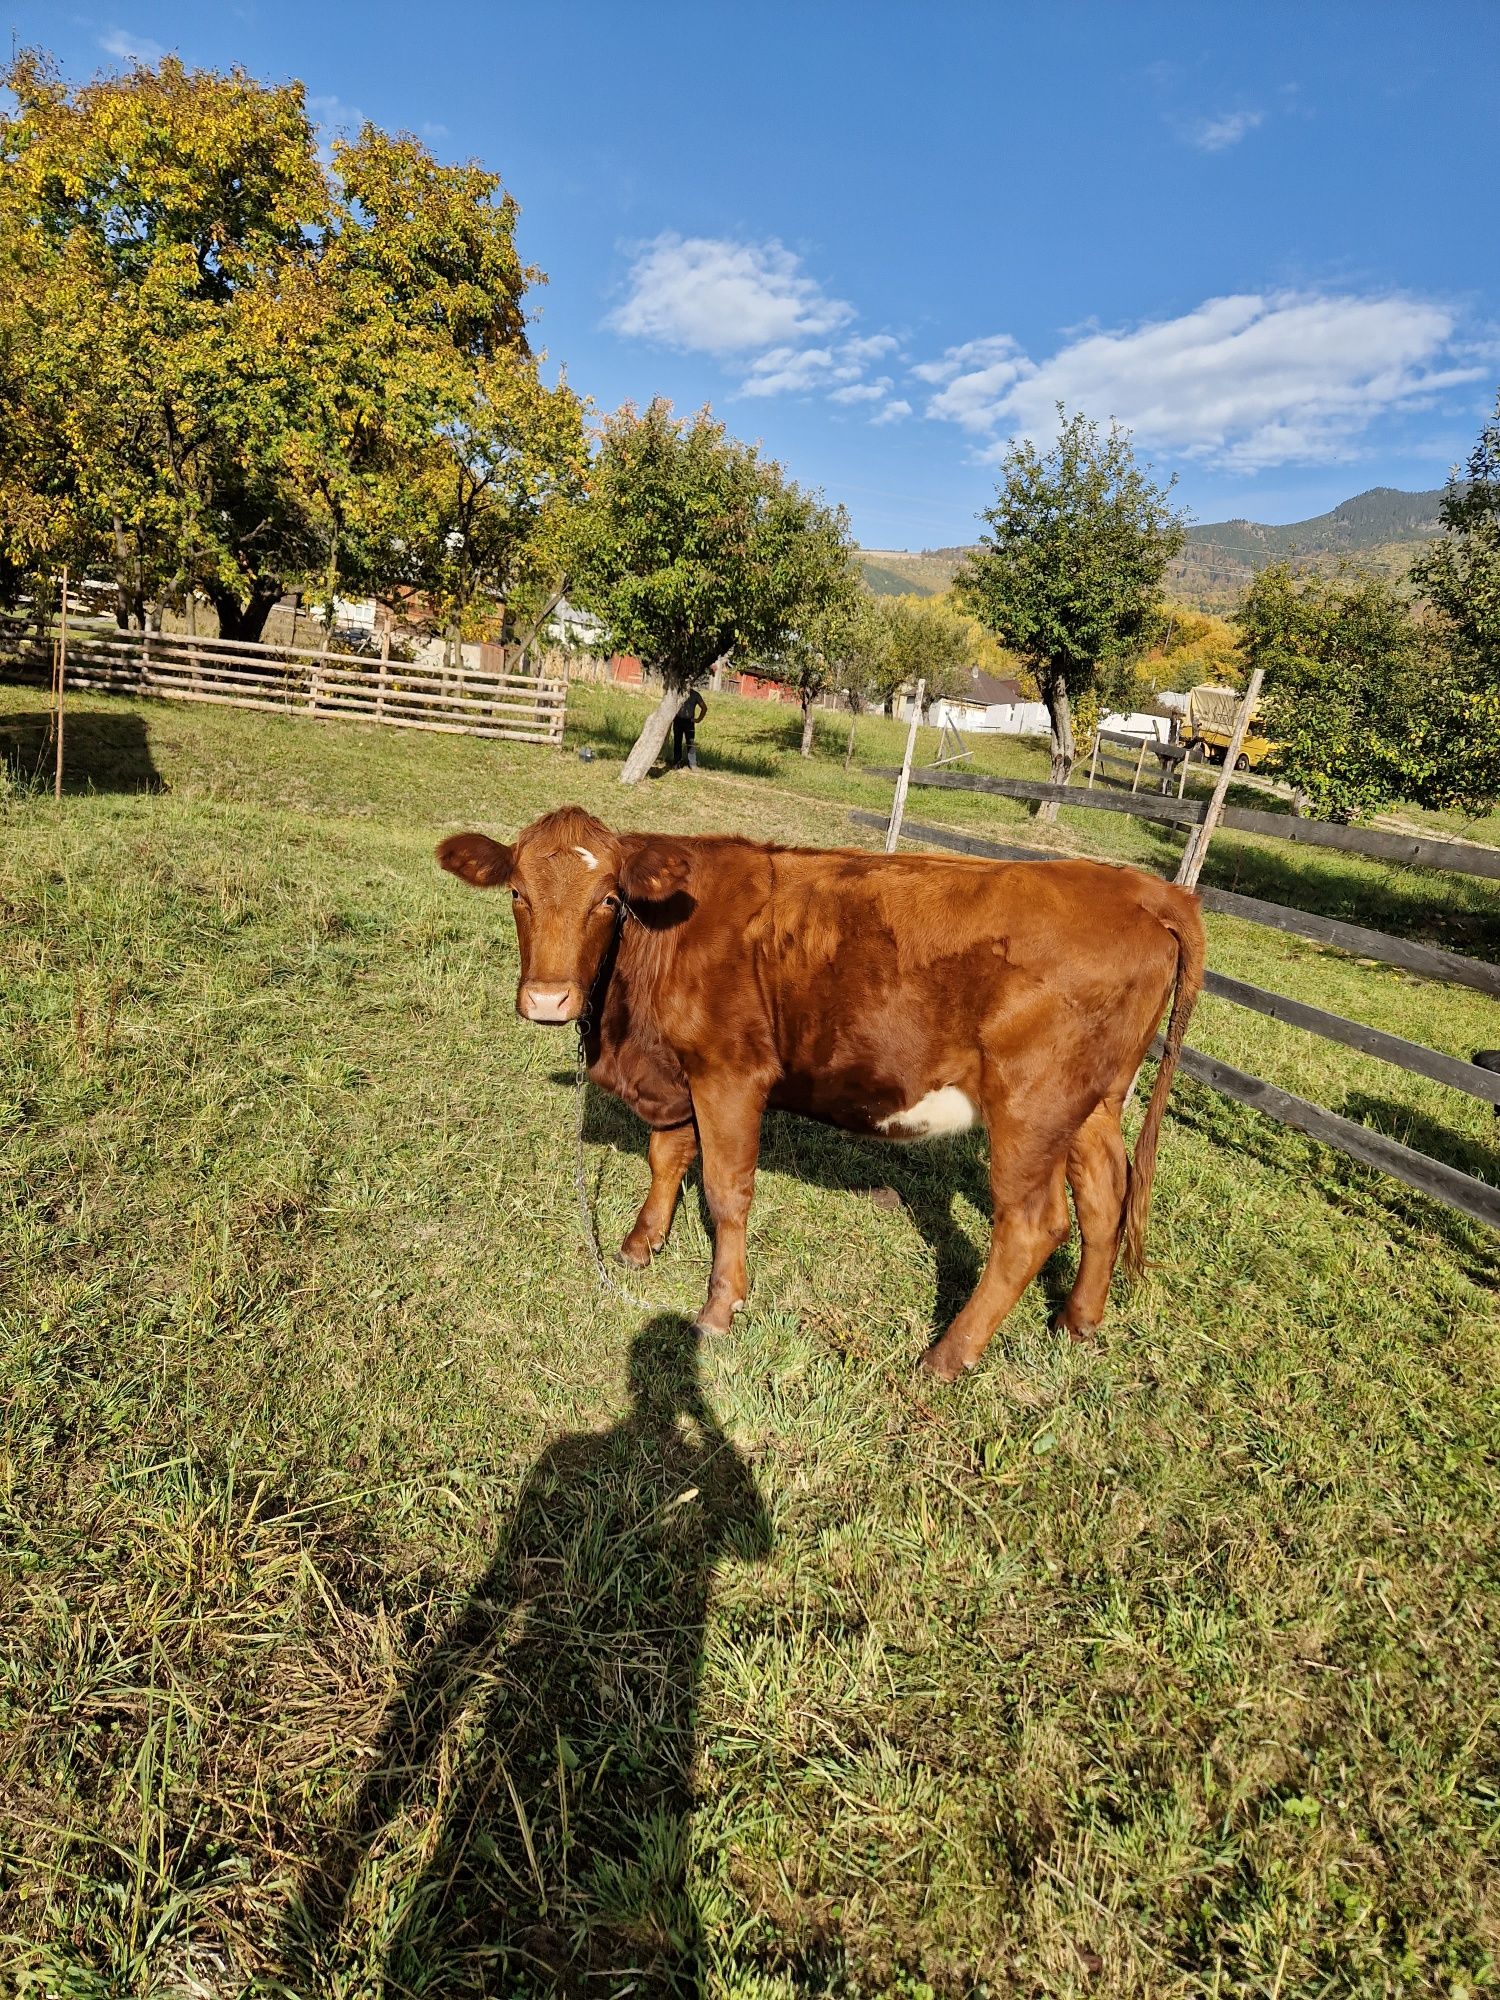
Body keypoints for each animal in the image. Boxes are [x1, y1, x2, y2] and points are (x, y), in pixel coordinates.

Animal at [438, 804, 1208, 1384]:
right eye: (517, 893)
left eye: (607, 900)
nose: (547, 1000)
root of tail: (1139, 889)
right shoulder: (676, 1071)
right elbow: (667, 1158)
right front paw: (639, 1244)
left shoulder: (730, 1075)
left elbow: (726, 1189)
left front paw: (720, 1308)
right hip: (1093, 1102)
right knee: (1106, 1195)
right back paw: (1077, 1322)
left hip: (1032, 1104)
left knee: (1033, 1224)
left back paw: (945, 1357)